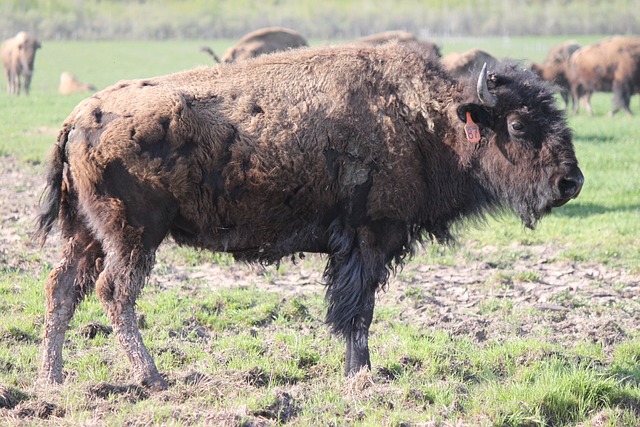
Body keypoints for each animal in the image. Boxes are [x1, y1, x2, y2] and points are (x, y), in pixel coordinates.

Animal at [37, 42, 584, 392]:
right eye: (518, 125)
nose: (570, 182)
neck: (427, 121)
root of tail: (79, 117)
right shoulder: (369, 240)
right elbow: (358, 311)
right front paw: (361, 376)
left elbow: (353, 310)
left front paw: (356, 373)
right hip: (134, 235)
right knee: (115, 293)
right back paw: (152, 377)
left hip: (86, 234)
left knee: (62, 288)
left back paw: (53, 380)